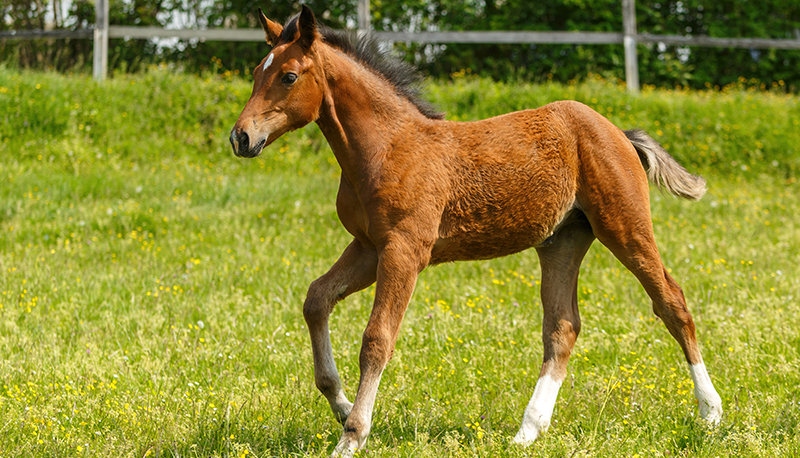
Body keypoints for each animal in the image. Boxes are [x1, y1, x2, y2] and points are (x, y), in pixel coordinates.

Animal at [228, 6, 720, 454]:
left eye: (289, 76)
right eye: (255, 73)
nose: (241, 137)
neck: (386, 147)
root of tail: (617, 130)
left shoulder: (404, 250)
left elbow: (377, 339)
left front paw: (352, 436)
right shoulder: (368, 246)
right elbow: (316, 300)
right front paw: (341, 404)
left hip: (625, 225)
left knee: (671, 303)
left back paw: (710, 413)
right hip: (562, 240)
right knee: (562, 327)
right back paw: (527, 431)